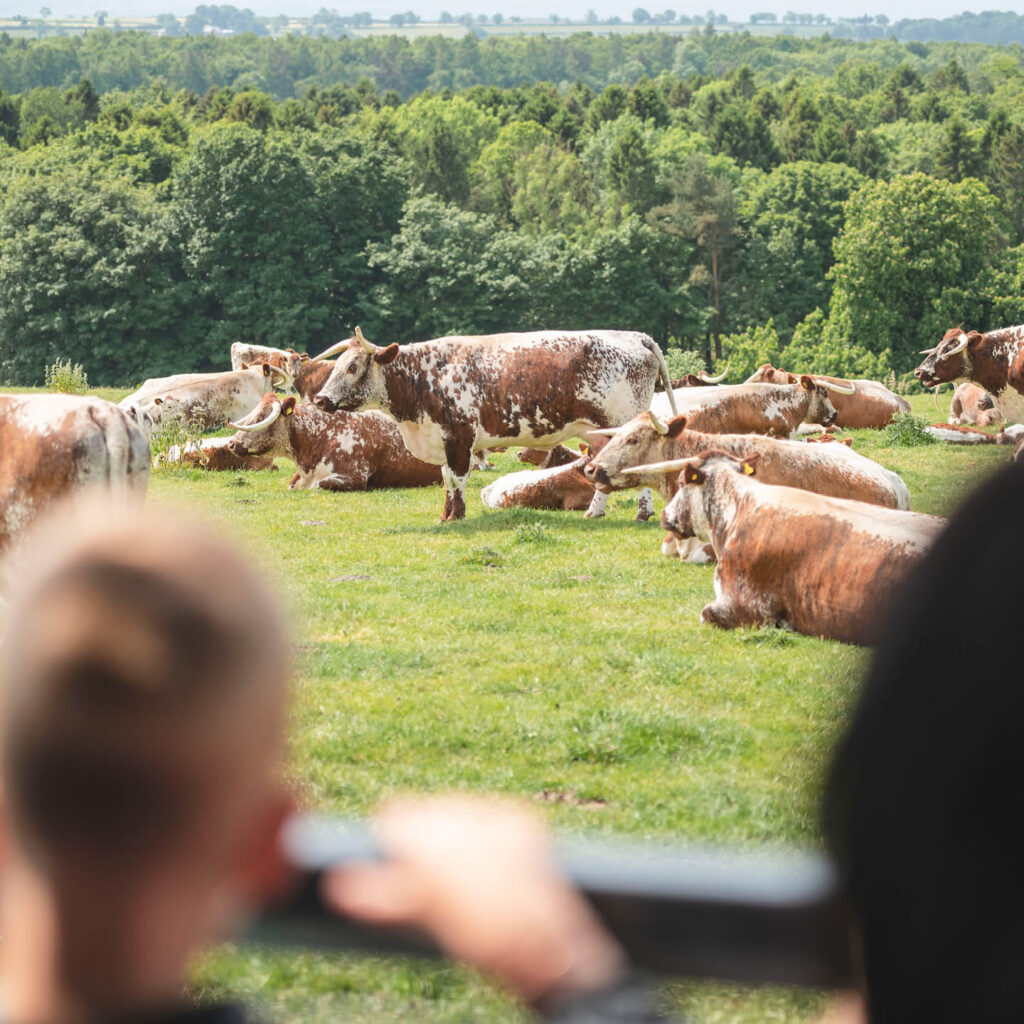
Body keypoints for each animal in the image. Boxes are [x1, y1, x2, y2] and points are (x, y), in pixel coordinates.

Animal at [312, 327, 678, 520]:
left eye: (353, 367)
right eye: (338, 364)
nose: (320, 400)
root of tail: (635, 336)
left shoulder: (458, 439)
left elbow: (457, 479)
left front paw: (456, 516)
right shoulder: (443, 442)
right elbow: (446, 479)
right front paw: (446, 514)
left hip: (621, 426)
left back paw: (640, 513)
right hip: (597, 433)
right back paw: (596, 513)